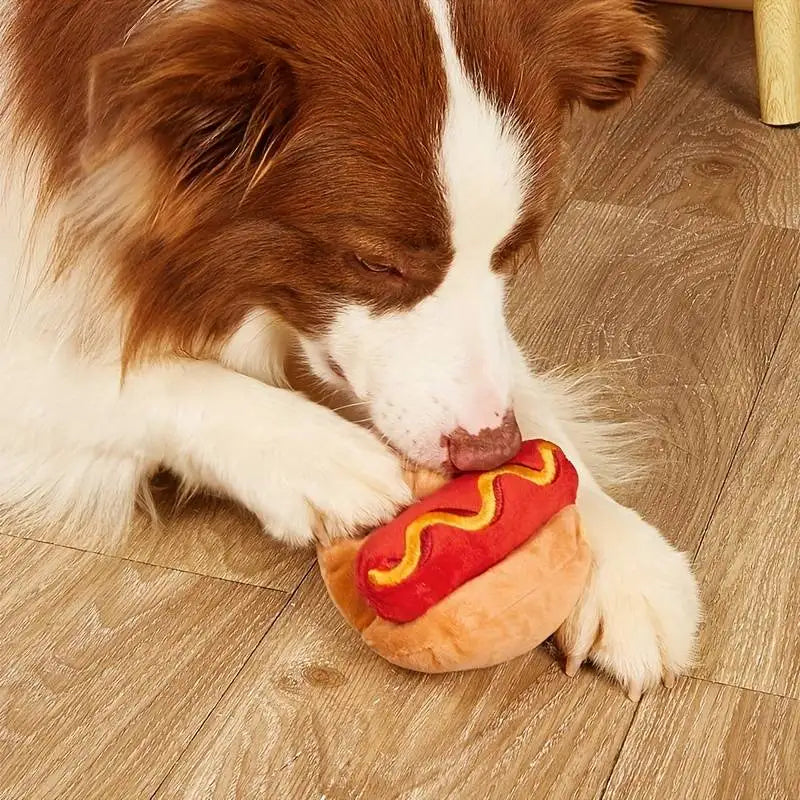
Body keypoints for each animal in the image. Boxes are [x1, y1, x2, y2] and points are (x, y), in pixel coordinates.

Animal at [0, 0, 696, 696]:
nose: (489, 454)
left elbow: (523, 394)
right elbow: (132, 379)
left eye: (511, 249)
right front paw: (319, 456)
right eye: (376, 263)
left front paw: (624, 560)